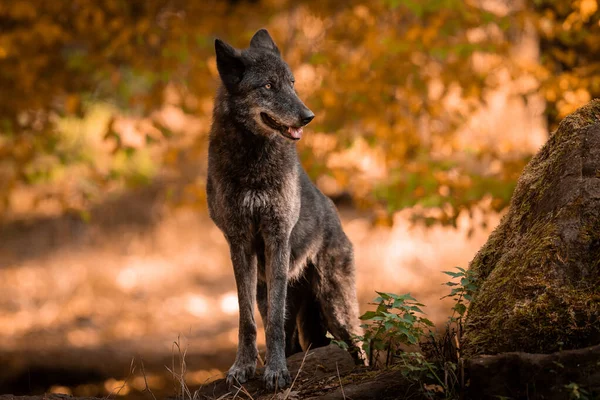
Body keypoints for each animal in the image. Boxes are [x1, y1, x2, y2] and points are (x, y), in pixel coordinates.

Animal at [207, 28, 360, 390]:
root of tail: (334, 213)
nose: (309, 116)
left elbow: (275, 322)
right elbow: (245, 318)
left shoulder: (277, 235)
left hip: (337, 309)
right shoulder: (239, 241)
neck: (252, 160)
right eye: (267, 86)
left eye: (292, 83)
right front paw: (243, 367)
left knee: (360, 340)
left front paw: (276, 372)